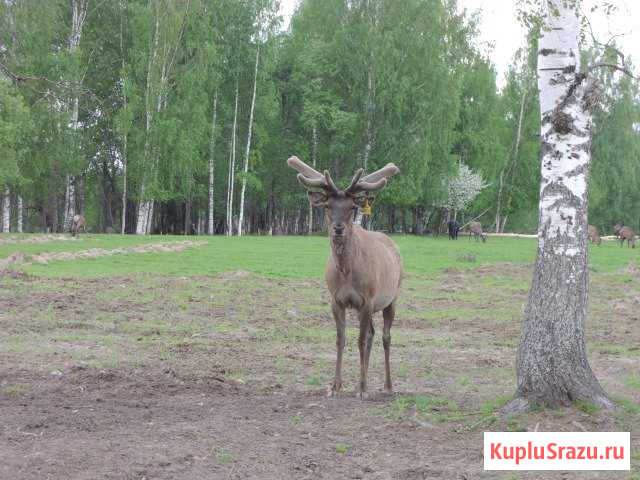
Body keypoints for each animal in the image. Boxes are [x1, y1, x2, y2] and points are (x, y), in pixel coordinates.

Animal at [288, 157, 402, 398]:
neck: (346, 273)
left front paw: (362, 388)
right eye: (328, 206)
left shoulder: (367, 299)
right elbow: (341, 339)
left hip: (392, 297)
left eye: (351, 207)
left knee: (385, 337)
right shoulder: (336, 300)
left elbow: (359, 341)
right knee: (372, 334)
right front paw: (335, 386)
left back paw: (387, 385)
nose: (338, 229)